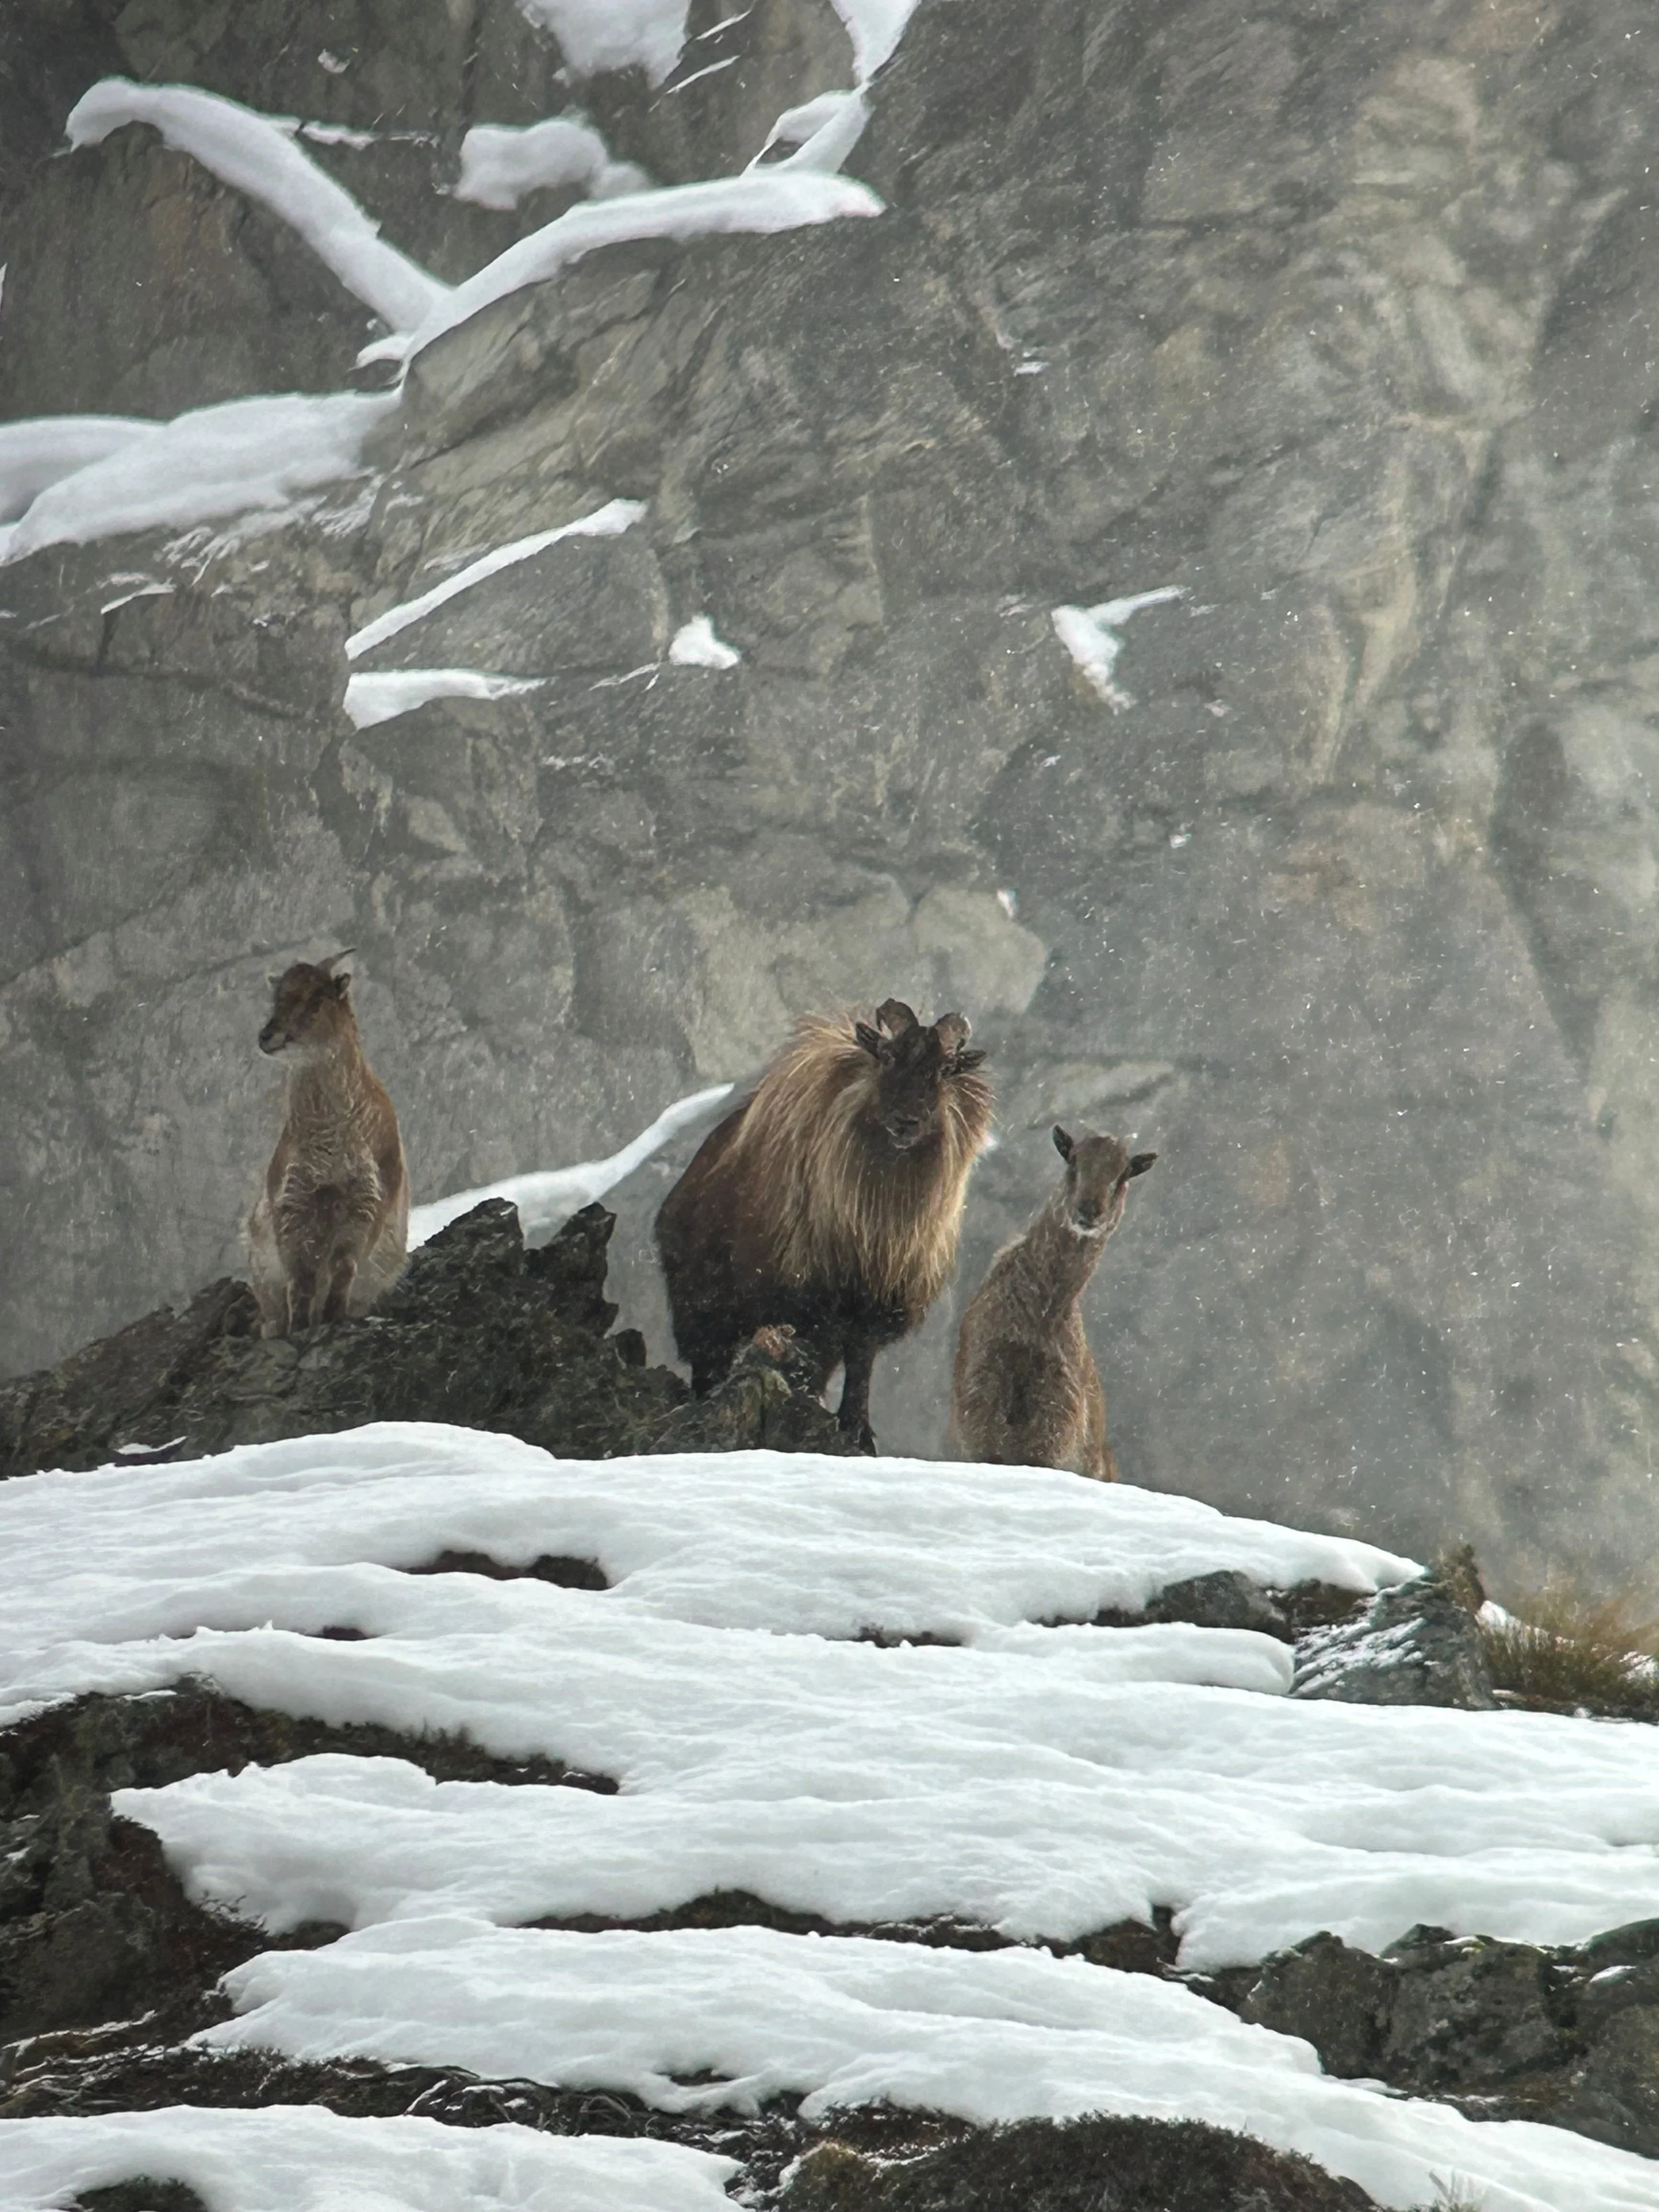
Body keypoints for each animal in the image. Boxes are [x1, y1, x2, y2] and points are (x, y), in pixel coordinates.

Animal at [244, 952, 409, 1336]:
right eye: (277, 996)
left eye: (316, 998)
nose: (267, 1036)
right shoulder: (294, 1207)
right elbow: (301, 1279)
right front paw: (301, 1326)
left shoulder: (365, 1206)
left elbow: (343, 1268)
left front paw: (333, 1316)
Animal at [656, 998, 993, 1452]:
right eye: (888, 1056)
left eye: (944, 1069)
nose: (907, 1121)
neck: (882, 1225)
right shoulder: (815, 1301)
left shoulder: (870, 1307)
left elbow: (861, 1365)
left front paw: (858, 1432)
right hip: (704, 1310)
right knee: (710, 1366)